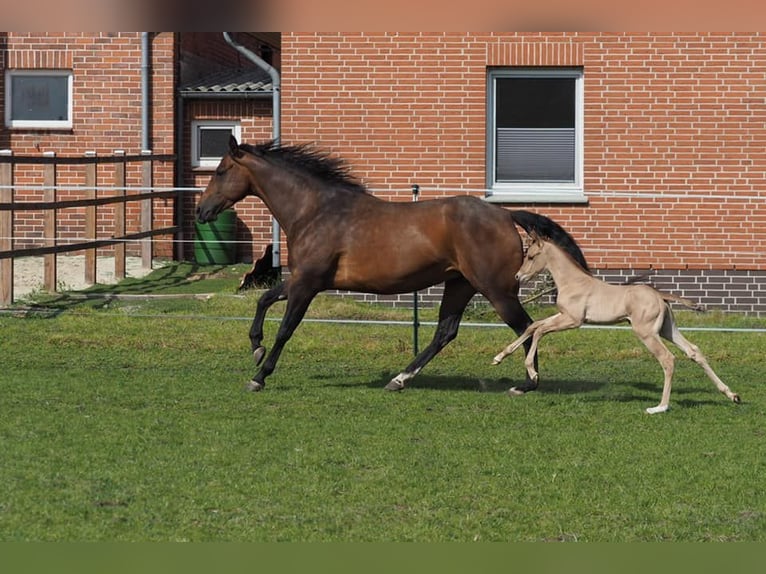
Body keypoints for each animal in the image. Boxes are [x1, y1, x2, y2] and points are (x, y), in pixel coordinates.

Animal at [198, 137, 588, 394]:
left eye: (221, 171)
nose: (202, 211)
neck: (315, 211)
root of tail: (505, 214)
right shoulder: (304, 280)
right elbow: (264, 300)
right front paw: (256, 347)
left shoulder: (307, 283)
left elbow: (286, 328)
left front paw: (259, 375)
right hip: (460, 284)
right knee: (445, 332)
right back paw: (399, 379)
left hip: (496, 290)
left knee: (526, 327)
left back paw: (528, 383)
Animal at [492, 232, 744, 416]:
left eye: (531, 256)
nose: (518, 277)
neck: (573, 281)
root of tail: (660, 295)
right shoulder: (562, 315)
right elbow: (533, 327)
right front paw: (498, 357)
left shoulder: (573, 320)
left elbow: (540, 331)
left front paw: (533, 373)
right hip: (667, 329)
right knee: (694, 351)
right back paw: (732, 395)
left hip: (646, 333)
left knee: (667, 359)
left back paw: (660, 407)